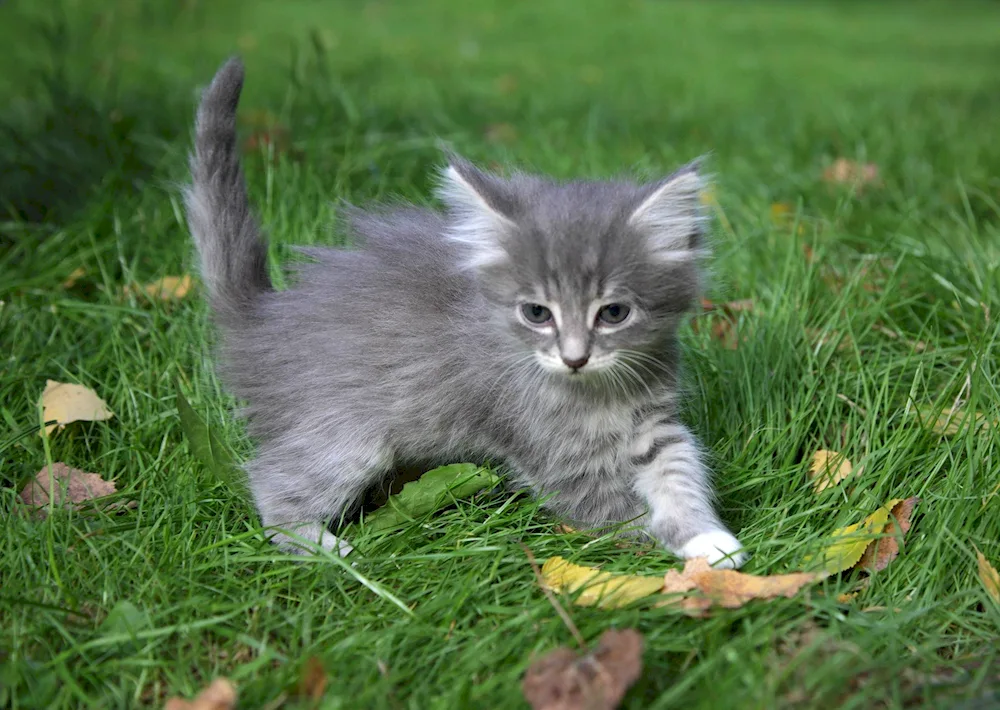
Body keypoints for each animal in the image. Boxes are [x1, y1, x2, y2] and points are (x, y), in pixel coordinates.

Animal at [188, 55, 748, 572]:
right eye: (537, 312)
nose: (575, 358)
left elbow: (678, 473)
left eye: (613, 313)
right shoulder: (545, 446)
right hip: (344, 431)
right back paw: (323, 549)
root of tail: (264, 317)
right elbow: (605, 507)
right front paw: (647, 545)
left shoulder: (653, 423)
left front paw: (704, 539)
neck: (597, 392)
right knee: (273, 481)